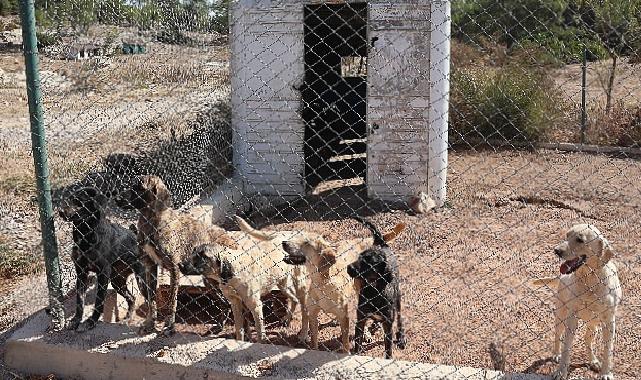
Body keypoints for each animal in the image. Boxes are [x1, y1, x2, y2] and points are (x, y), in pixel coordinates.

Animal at [59, 186, 146, 330]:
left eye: (79, 201)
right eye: (68, 199)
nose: (60, 212)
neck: (85, 234)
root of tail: (135, 236)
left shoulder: (103, 272)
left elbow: (99, 300)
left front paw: (92, 321)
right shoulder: (81, 272)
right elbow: (79, 300)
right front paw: (76, 320)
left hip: (141, 278)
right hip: (117, 281)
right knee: (132, 298)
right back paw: (127, 319)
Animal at [131, 175, 240, 336]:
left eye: (139, 188)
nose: (116, 198)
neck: (151, 221)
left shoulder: (174, 269)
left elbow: (172, 302)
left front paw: (169, 327)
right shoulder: (150, 266)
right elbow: (151, 300)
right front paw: (150, 323)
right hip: (210, 281)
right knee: (225, 303)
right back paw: (218, 327)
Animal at [344, 217, 404, 360]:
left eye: (368, 263)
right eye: (358, 258)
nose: (348, 268)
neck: (373, 291)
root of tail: (382, 244)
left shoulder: (388, 325)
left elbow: (388, 349)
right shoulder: (360, 319)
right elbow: (358, 343)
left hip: (398, 298)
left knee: (399, 318)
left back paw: (401, 338)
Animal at [528, 224, 620, 380]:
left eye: (579, 240)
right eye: (567, 235)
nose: (556, 251)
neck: (590, 281)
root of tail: (560, 277)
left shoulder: (609, 321)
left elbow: (608, 350)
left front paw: (606, 373)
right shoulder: (572, 319)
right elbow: (566, 347)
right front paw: (561, 372)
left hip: (593, 324)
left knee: (587, 339)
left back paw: (593, 361)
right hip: (561, 316)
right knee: (557, 335)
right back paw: (556, 354)